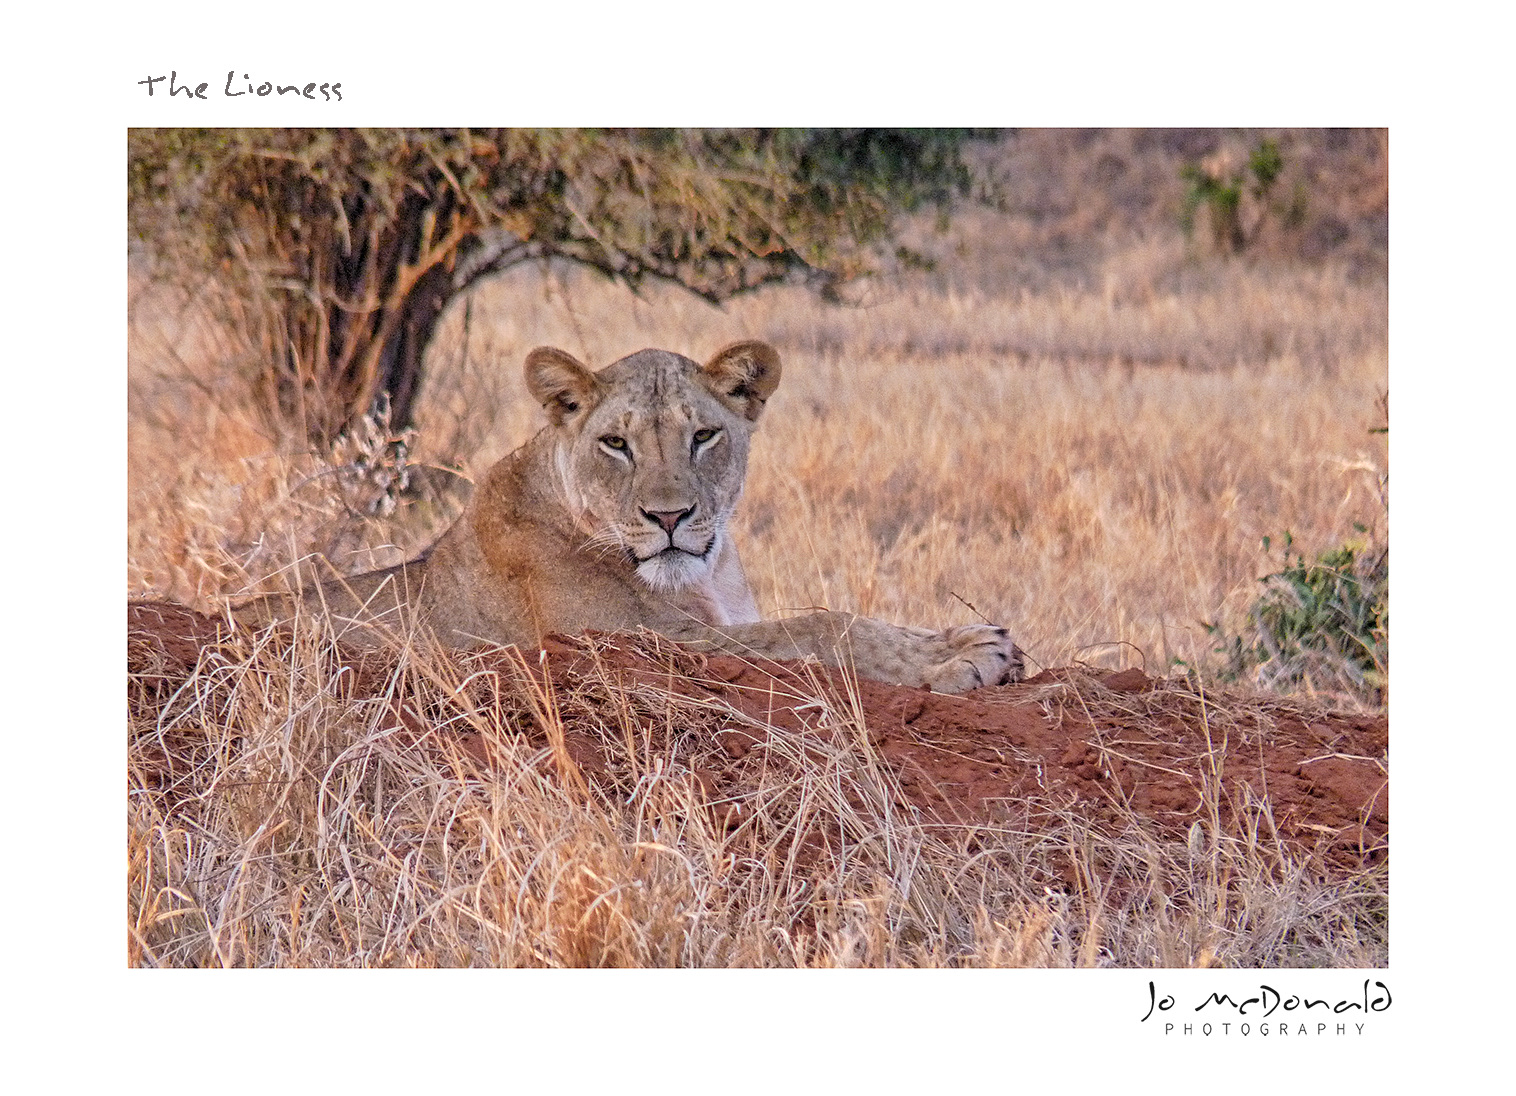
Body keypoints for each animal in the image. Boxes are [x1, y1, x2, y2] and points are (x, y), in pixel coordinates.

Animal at [238, 341, 1023, 694]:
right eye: (616, 443)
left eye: (703, 435)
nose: (669, 516)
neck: (705, 576)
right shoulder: (646, 642)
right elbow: (820, 626)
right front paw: (959, 663)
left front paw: (972, 637)